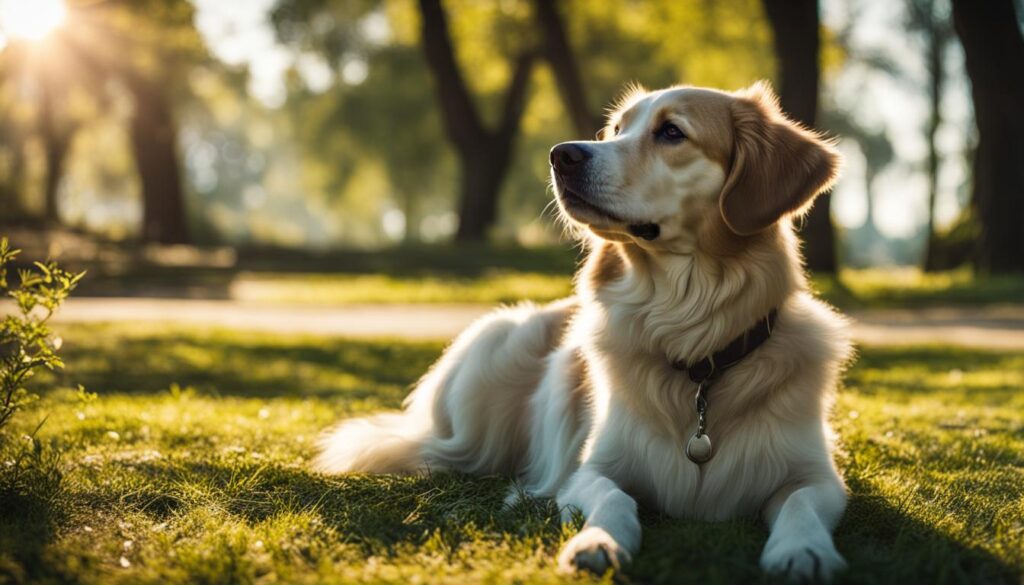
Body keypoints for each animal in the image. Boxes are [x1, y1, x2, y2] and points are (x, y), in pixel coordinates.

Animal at [315, 81, 851, 581]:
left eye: (671, 132)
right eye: (614, 130)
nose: (562, 155)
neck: (694, 349)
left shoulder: (818, 477)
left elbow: (801, 504)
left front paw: (803, 550)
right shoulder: (592, 468)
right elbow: (614, 499)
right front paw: (597, 542)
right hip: (496, 341)